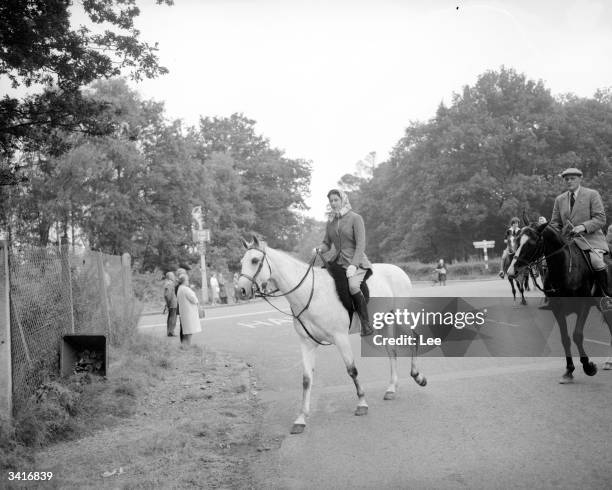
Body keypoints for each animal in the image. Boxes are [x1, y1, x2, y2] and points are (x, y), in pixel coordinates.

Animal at [506, 221, 612, 382]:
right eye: (517, 241)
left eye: (531, 243)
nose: (512, 271)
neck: (566, 270)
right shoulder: (557, 310)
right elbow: (565, 338)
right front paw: (569, 370)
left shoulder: (583, 307)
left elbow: (577, 335)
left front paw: (588, 367)